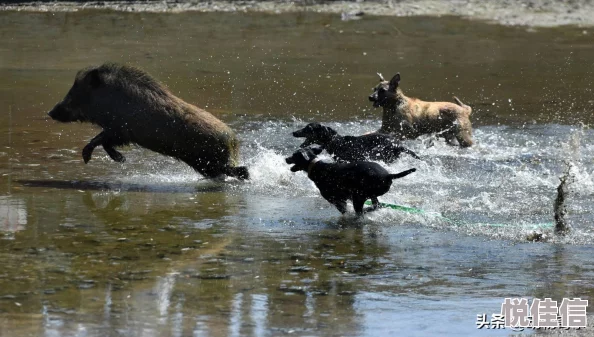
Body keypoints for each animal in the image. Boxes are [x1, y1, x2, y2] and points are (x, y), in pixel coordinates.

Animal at [284, 145, 414, 214]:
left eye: (294, 155)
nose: (285, 158)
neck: (317, 166)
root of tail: (389, 175)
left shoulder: (337, 200)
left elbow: (344, 211)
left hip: (358, 196)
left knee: (362, 210)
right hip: (370, 195)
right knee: (376, 205)